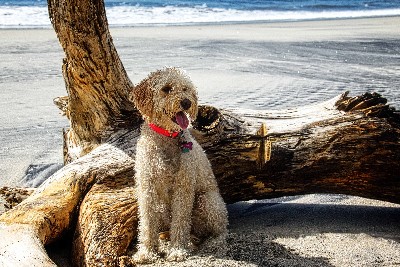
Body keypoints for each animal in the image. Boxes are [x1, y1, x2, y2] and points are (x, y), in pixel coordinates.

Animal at [130, 67, 227, 264]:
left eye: (185, 89)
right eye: (166, 89)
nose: (187, 102)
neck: (166, 136)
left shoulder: (183, 187)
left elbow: (180, 220)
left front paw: (177, 250)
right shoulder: (147, 187)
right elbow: (147, 223)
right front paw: (146, 252)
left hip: (208, 201)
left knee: (221, 229)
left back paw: (210, 241)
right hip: (162, 208)